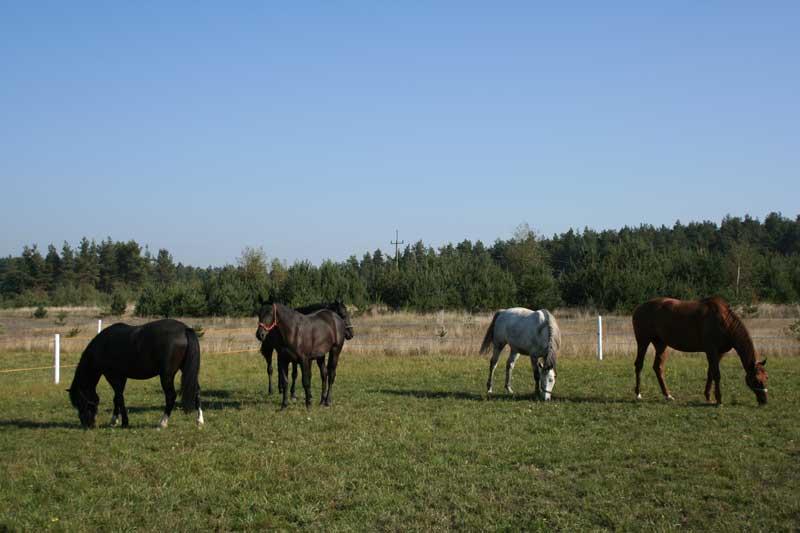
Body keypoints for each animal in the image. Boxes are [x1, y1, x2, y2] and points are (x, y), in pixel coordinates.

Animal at [68, 320, 203, 428]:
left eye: (80, 402)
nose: (86, 424)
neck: (103, 346)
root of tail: (184, 329)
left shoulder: (112, 376)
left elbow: (119, 397)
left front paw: (124, 422)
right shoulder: (122, 377)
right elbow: (116, 397)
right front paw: (114, 420)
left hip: (167, 376)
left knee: (171, 396)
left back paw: (162, 423)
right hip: (186, 370)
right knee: (196, 391)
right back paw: (199, 421)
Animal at [632, 298, 768, 406]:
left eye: (766, 377)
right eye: (756, 380)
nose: (764, 401)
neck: (724, 321)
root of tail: (639, 308)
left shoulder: (719, 353)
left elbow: (711, 373)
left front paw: (708, 396)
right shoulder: (711, 351)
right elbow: (717, 374)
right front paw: (719, 400)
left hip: (661, 344)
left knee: (658, 367)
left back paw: (667, 395)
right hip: (643, 341)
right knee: (639, 365)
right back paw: (638, 394)